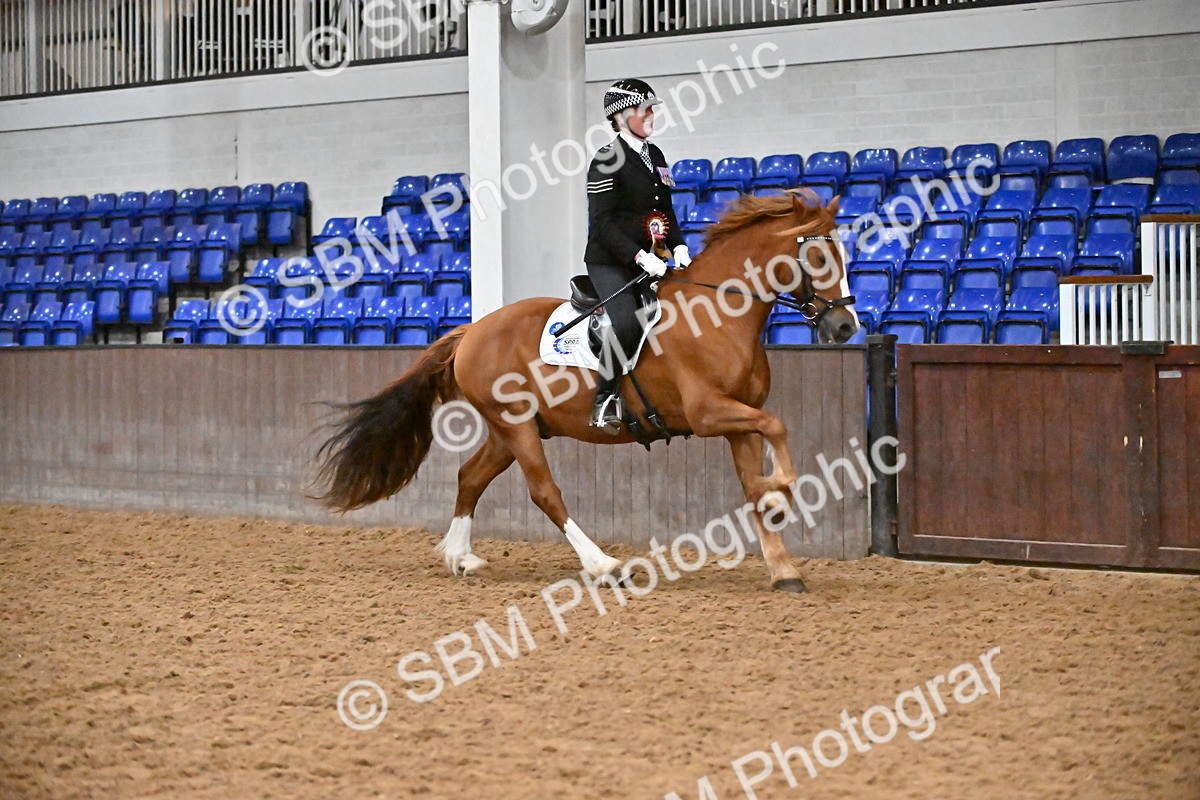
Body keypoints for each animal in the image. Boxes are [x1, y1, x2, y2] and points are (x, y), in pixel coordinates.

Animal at [312, 191, 858, 593]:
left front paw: (783, 566)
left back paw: (461, 558)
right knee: (545, 493)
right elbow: (778, 429)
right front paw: (784, 486)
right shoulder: (710, 413)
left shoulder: (739, 418)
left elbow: (754, 484)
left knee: (470, 477)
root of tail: (470, 331)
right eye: (816, 254)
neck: (720, 312)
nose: (845, 326)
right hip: (515, 427)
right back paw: (603, 567)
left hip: (513, 430)